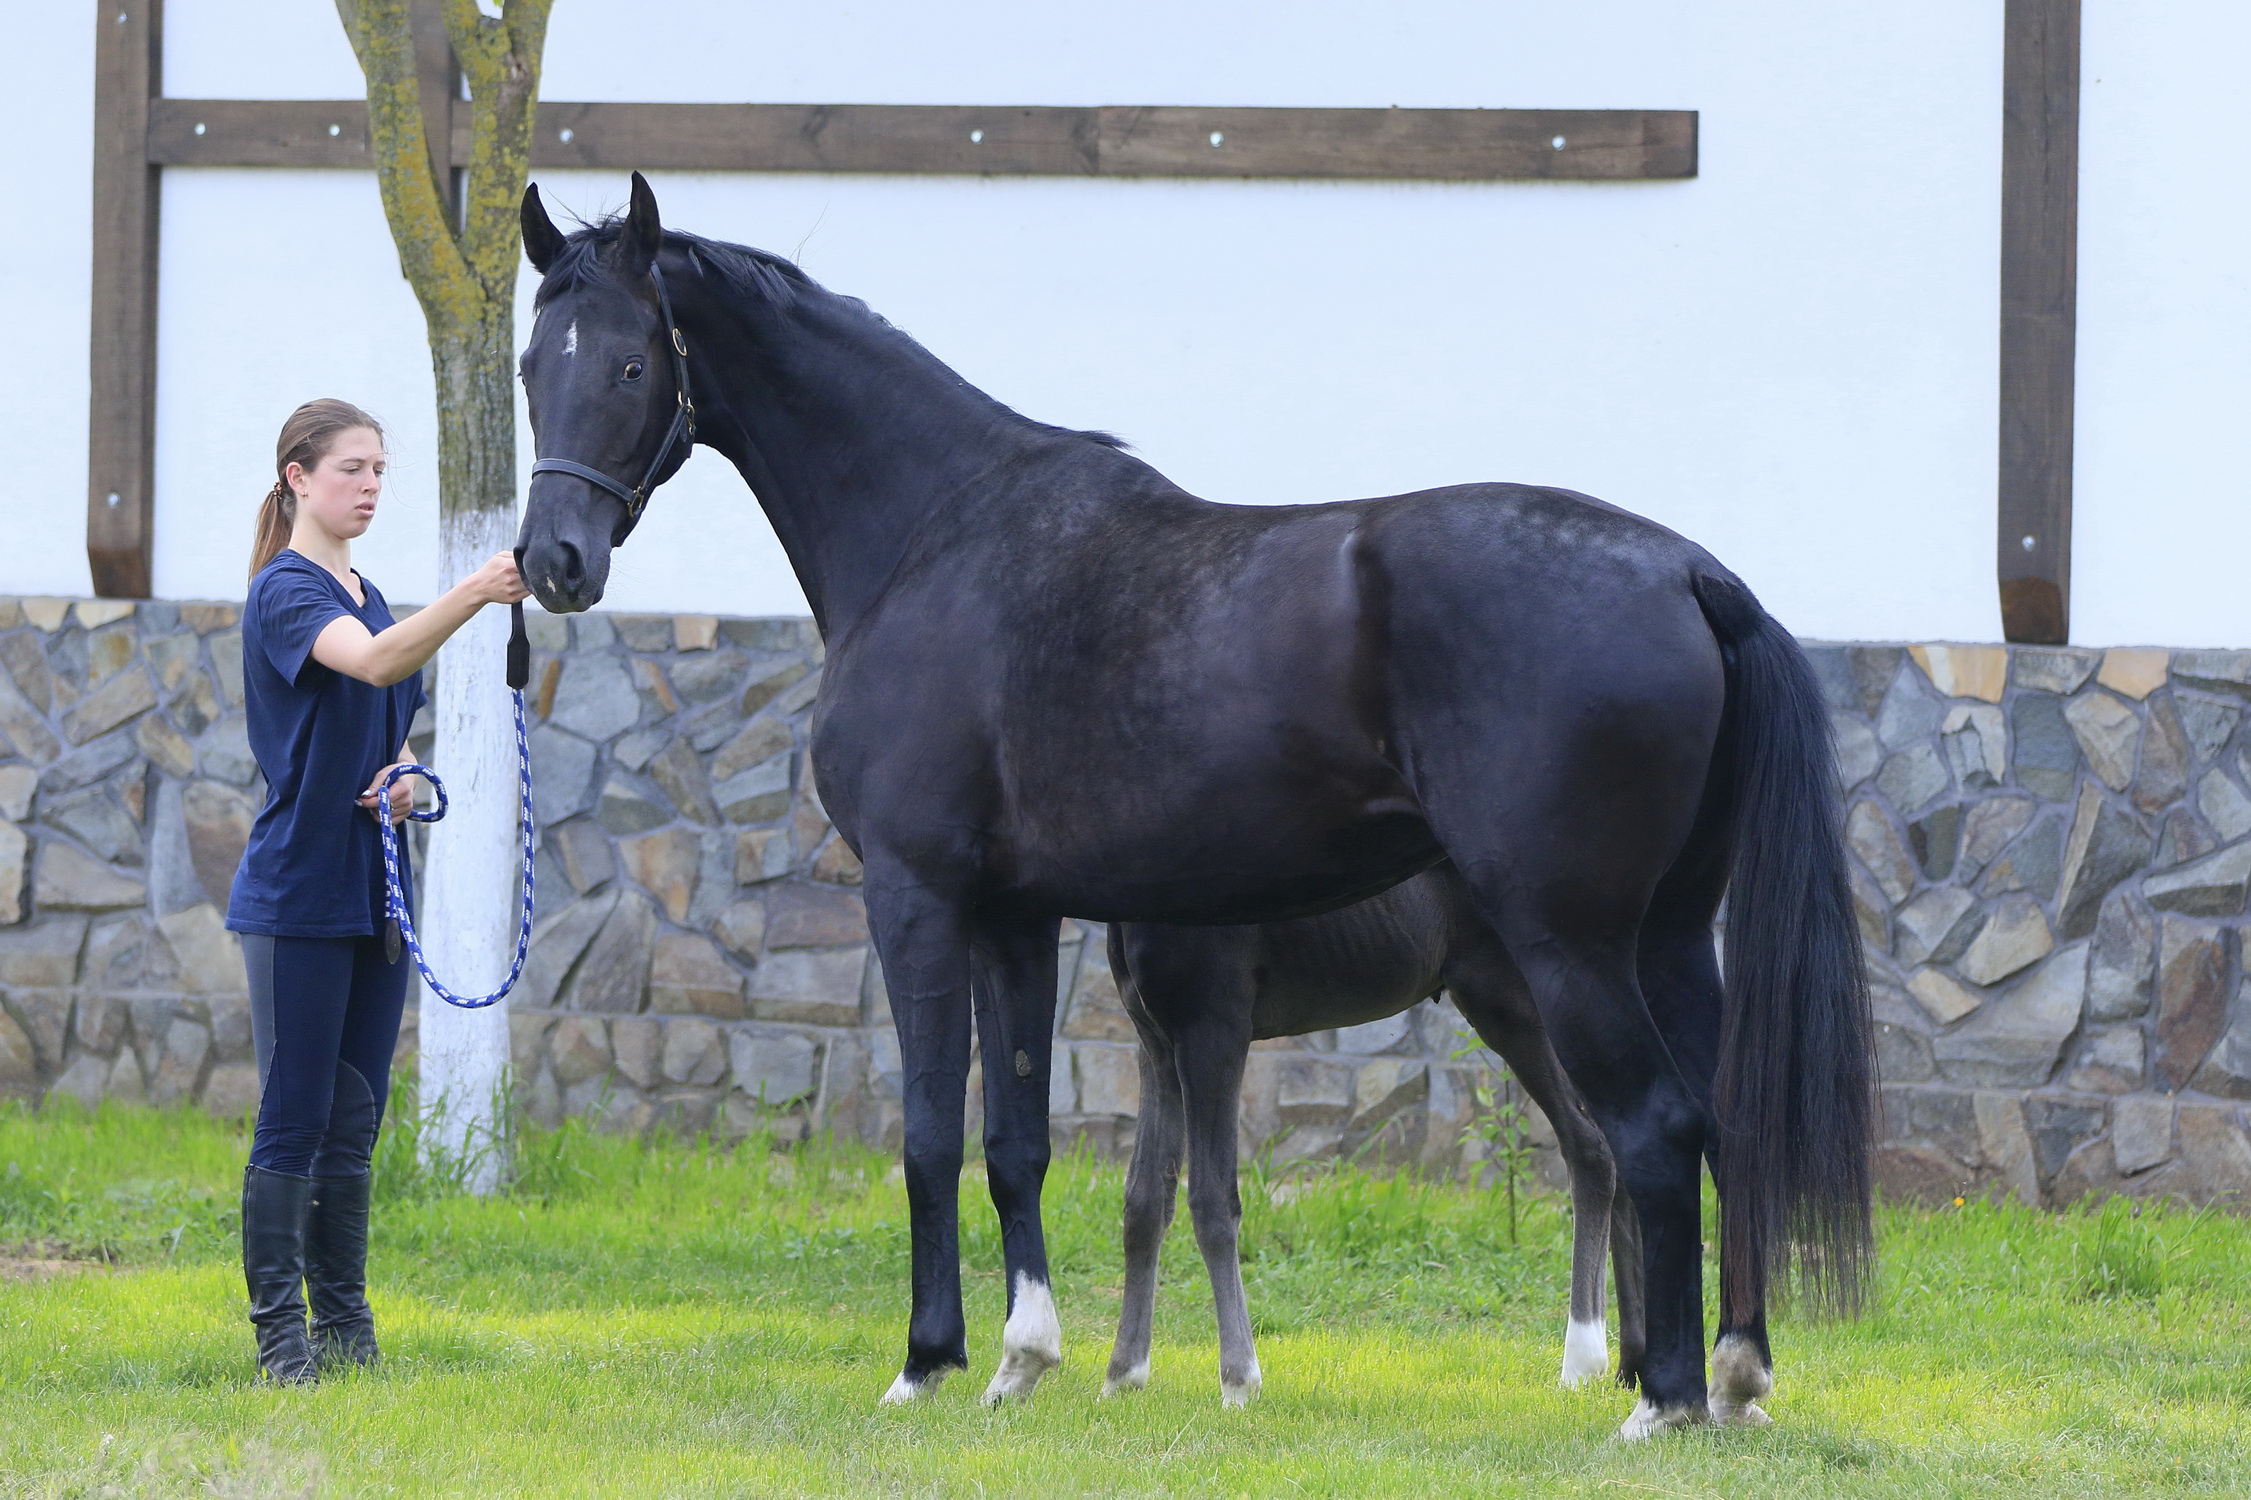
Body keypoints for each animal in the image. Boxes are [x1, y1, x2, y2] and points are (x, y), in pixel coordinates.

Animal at [1107, 860, 1656, 1405]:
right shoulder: (1156, 1043)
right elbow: (1144, 1202)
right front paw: (1122, 1375)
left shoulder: (1213, 1031)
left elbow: (1213, 1202)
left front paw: (1239, 1382)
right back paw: (1632, 1368)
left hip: (1514, 1007)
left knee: (1590, 1149)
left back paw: (1582, 1361)